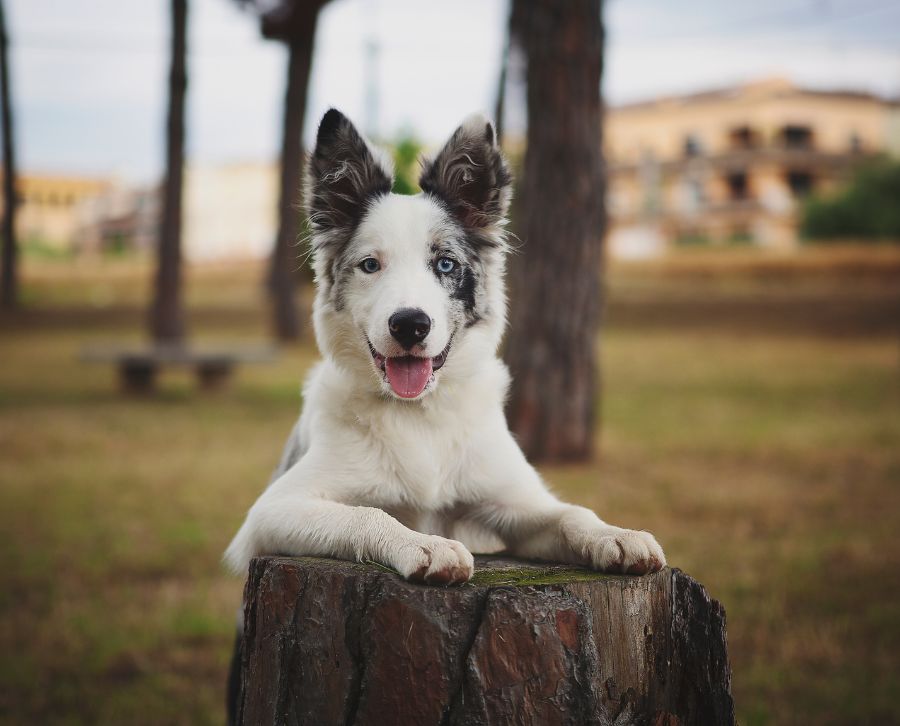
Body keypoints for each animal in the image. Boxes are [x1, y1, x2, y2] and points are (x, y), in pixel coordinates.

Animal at [222, 109, 664, 592]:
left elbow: (571, 513)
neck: (419, 416)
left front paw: (617, 536)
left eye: (445, 264)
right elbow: (368, 513)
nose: (410, 325)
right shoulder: (271, 511)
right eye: (370, 265)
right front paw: (425, 545)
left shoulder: (516, 503)